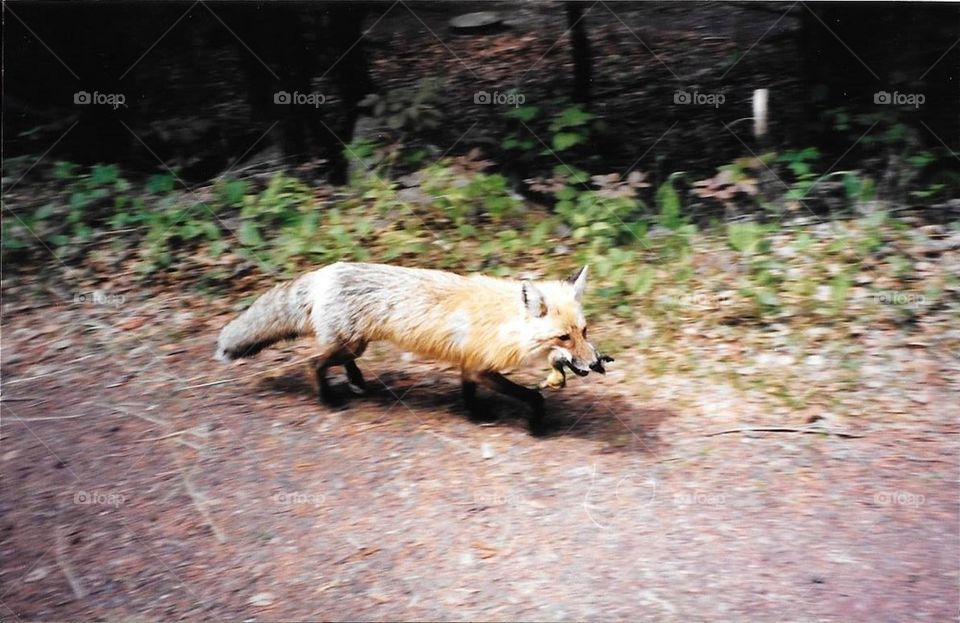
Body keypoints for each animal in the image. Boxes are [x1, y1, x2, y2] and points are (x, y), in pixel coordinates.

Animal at [215, 262, 612, 435]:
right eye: (563, 338)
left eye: (583, 331)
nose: (596, 363)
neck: (505, 323)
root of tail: (324, 271)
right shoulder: (481, 366)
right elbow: (534, 396)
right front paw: (534, 424)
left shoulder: (469, 365)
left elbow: (467, 393)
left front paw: (474, 416)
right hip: (347, 344)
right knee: (314, 364)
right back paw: (328, 399)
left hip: (355, 346)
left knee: (338, 363)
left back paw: (358, 384)